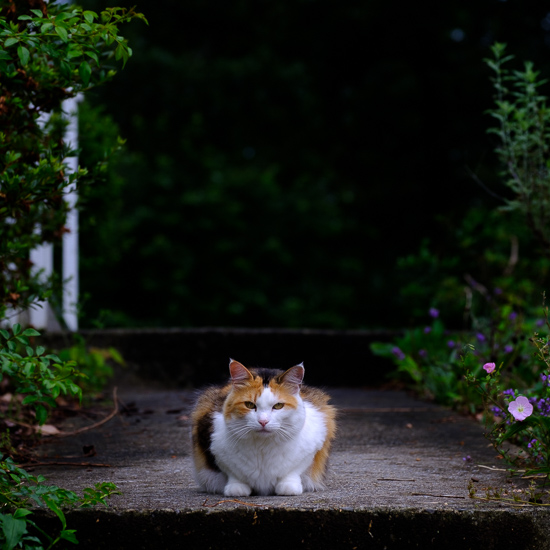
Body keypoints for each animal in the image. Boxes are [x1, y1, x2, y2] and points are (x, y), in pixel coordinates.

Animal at [191, 360, 336, 498]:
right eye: (249, 405)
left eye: (278, 406)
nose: (263, 421)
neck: (262, 446)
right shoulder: (213, 445)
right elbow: (234, 474)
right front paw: (236, 488)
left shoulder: (314, 443)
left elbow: (293, 471)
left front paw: (288, 486)